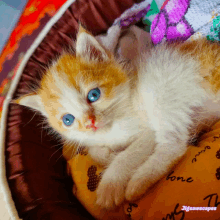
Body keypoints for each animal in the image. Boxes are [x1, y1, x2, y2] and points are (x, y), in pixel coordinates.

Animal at [15, 24, 220, 210]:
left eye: (94, 95)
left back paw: (138, 181)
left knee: (174, 145)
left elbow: (127, 155)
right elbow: (94, 150)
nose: (90, 123)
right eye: (67, 120)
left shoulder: (146, 132)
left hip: (161, 89)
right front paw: (107, 155)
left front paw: (110, 186)